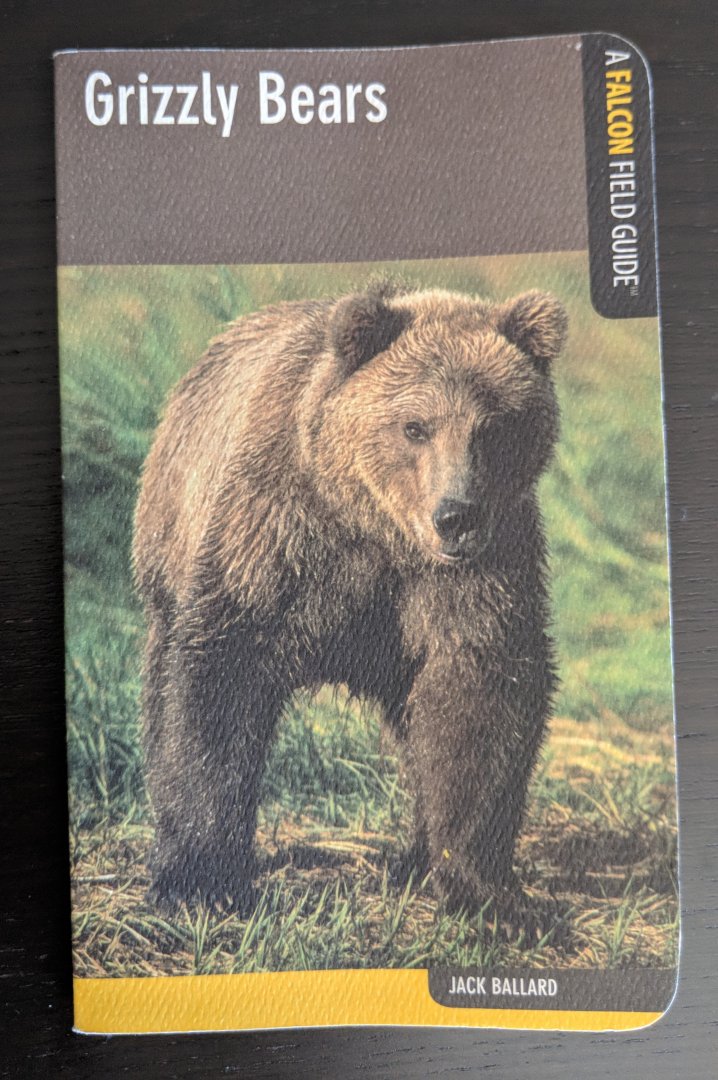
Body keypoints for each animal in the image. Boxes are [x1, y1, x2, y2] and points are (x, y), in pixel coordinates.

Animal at [132, 280, 567, 915]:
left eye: (493, 427)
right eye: (415, 426)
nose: (456, 517)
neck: (374, 527)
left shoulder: (478, 570)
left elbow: (479, 692)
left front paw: (479, 886)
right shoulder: (277, 536)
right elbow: (219, 680)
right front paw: (198, 877)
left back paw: (413, 858)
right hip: (172, 533)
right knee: (165, 682)